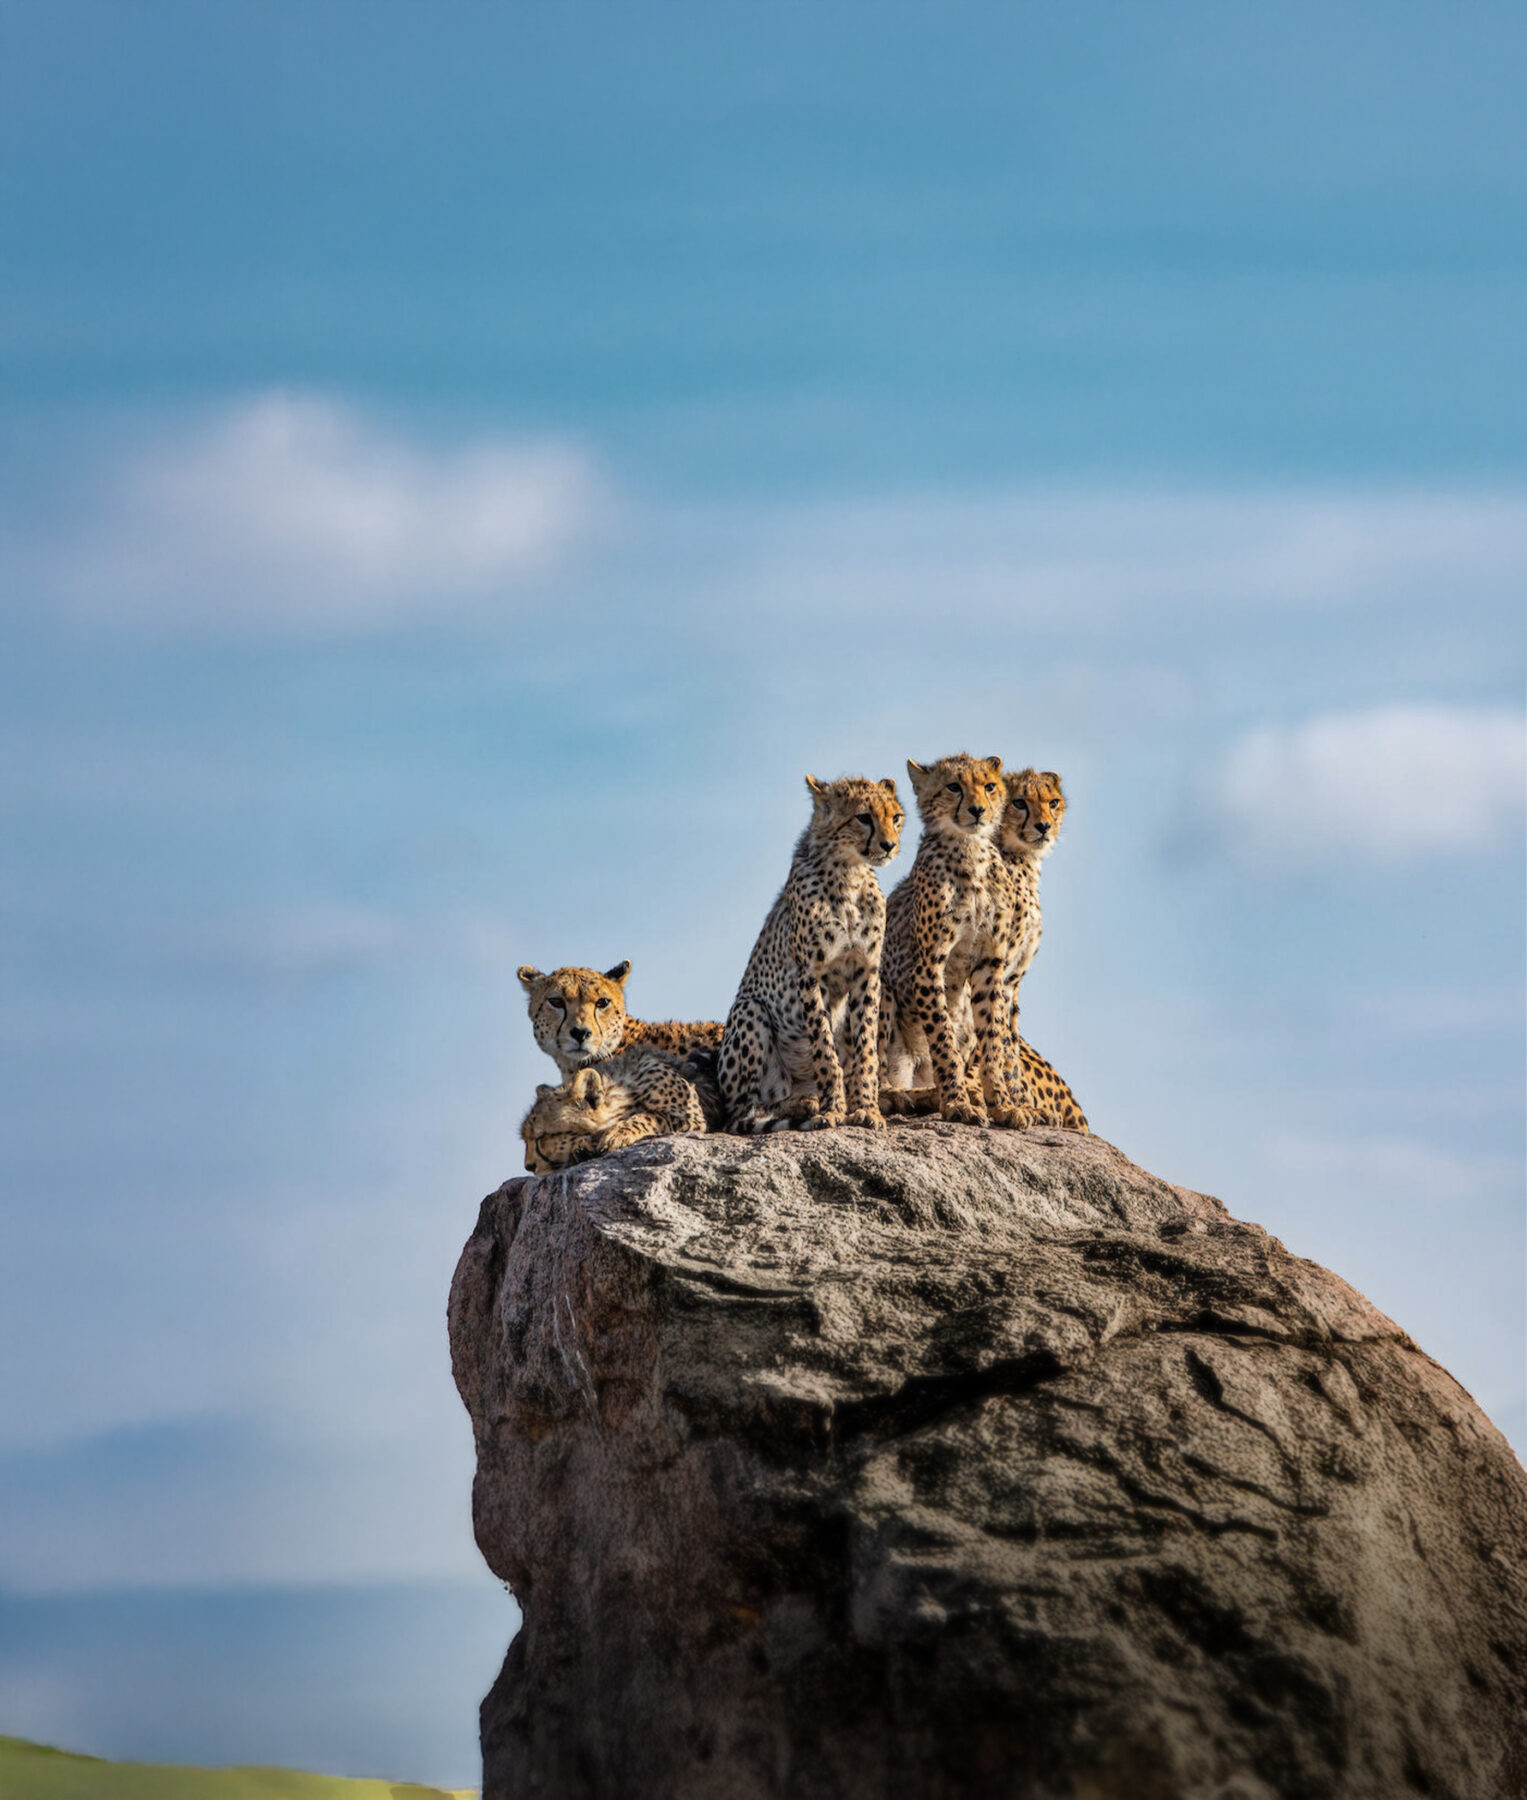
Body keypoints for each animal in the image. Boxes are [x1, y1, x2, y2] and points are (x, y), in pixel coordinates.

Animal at [520, 1043, 724, 1173]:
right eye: (526, 1140)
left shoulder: (693, 1118)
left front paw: (618, 1134)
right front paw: (584, 1145)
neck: (625, 1090)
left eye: (541, 1137)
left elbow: (652, 1115)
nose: (529, 1166)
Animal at [718, 773, 904, 1134]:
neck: (849, 874)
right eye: (863, 817)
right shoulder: (811, 975)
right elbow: (824, 1048)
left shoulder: (867, 973)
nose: (890, 845)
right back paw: (804, 1104)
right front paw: (833, 1110)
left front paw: (866, 1108)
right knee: (743, 1112)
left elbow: (865, 1048)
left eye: (896, 817)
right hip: (751, 1010)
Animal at [877, 752, 1028, 1128]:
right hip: (880, 990)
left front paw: (1001, 1104)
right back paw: (896, 1097)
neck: (970, 850)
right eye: (953, 787)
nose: (978, 810)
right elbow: (943, 1039)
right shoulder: (929, 964)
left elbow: (992, 1040)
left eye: (989, 786)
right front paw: (957, 1103)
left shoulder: (990, 964)